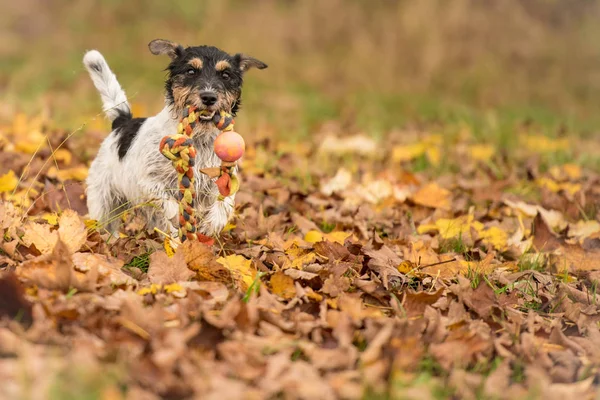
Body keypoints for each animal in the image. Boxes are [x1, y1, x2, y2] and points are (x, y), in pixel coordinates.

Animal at [82, 38, 268, 238]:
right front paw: (177, 218)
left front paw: (212, 224)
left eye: (225, 75)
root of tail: (122, 122)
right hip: (103, 202)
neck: (198, 138)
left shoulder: (220, 177)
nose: (209, 97)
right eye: (191, 71)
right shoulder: (147, 181)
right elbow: (167, 201)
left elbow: (225, 200)